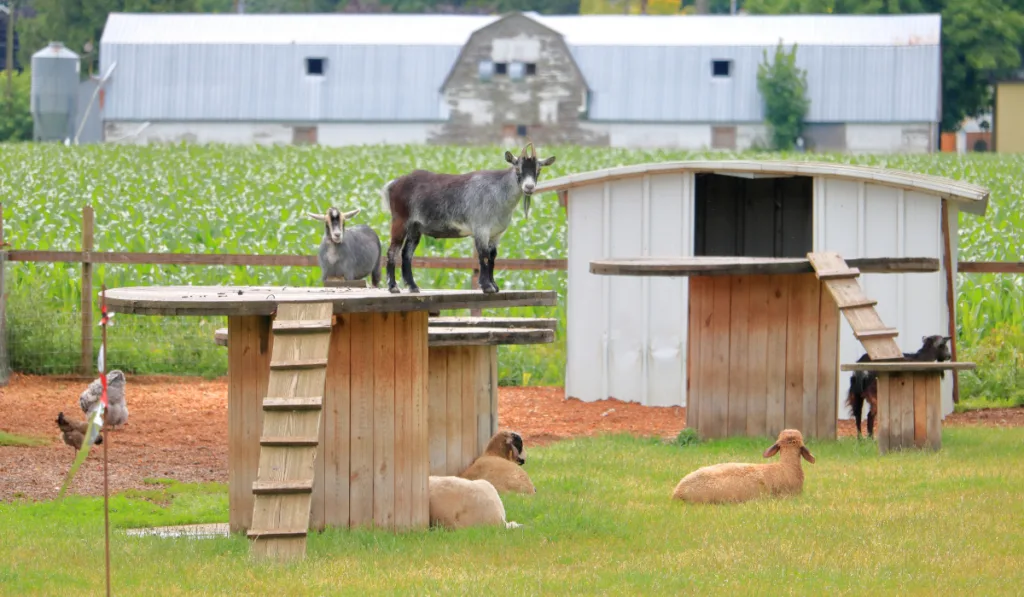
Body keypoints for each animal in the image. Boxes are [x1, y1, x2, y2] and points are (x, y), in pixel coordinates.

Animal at [380, 143, 557, 294]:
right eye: (518, 169)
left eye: (538, 171)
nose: (529, 187)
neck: (499, 192)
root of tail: (393, 184)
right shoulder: (481, 229)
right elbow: (483, 255)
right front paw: (486, 286)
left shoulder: (496, 233)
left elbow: (492, 256)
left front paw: (494, 285)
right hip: (400, 220)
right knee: (392, 251)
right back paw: (393, 287)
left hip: (415, 227)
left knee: (406, 253)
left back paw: (413, 286)